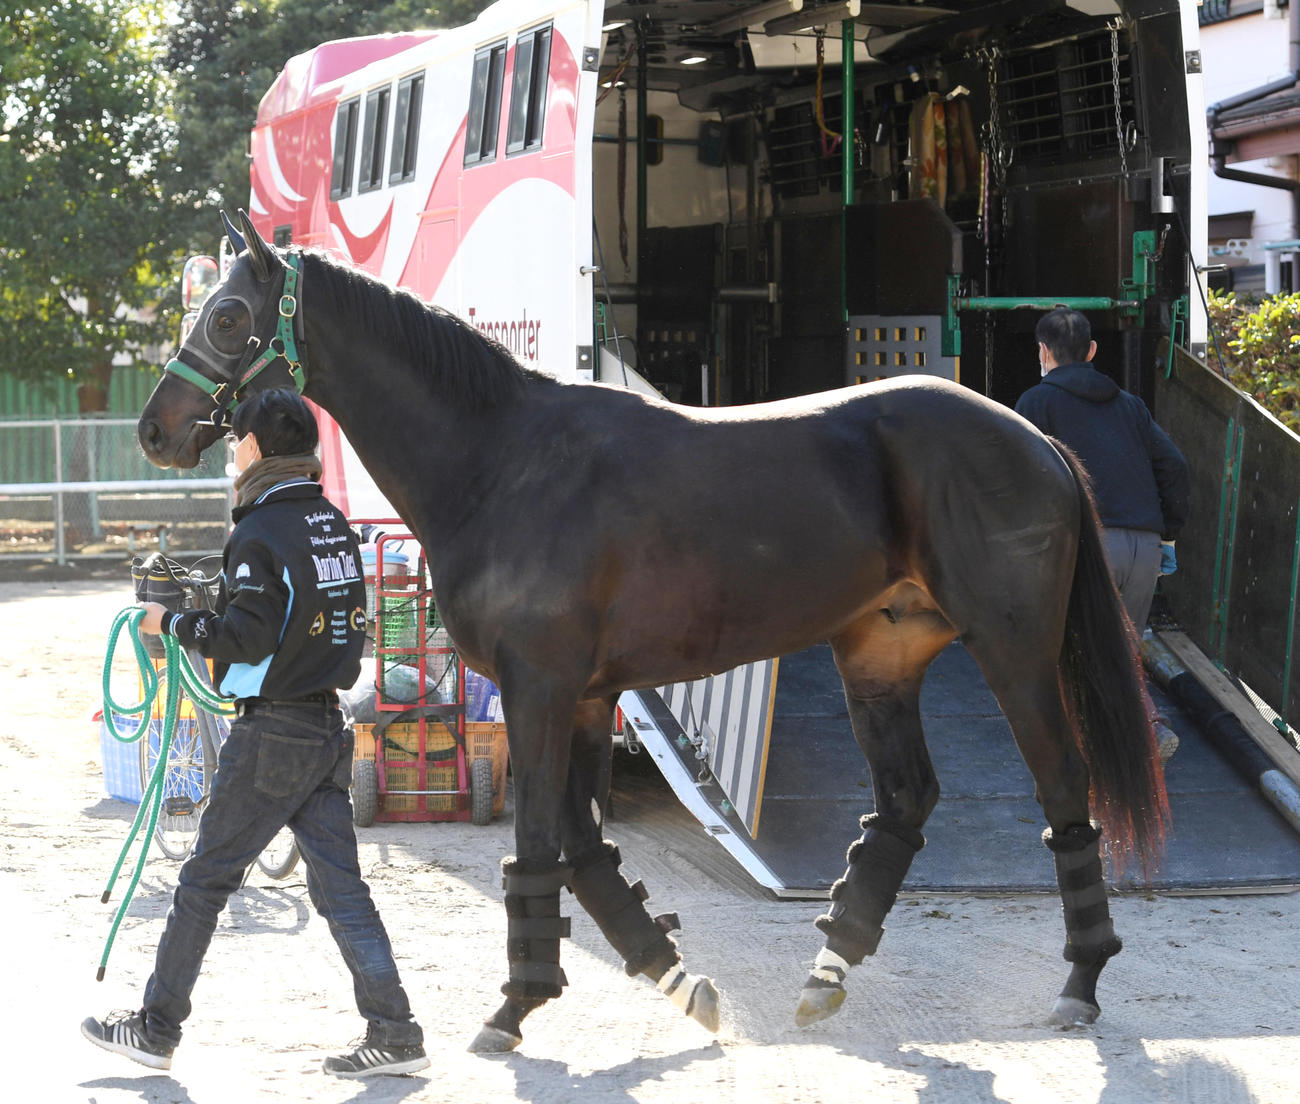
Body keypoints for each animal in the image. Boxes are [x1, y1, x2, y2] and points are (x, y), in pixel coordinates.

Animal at [138, 211, 1169, 1052]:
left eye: (227, 318)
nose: (156, 429)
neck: (503, 459)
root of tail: (1033, 440)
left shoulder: (540, 689)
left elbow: (540, 845)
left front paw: (515, 1007)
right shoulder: (587, 698)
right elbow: (585, 851)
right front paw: (675, 979)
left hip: (1016, 653)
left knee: (1064, 789)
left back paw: (1081, 981)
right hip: (880, 654)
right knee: (905, 802)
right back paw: (828, 972)